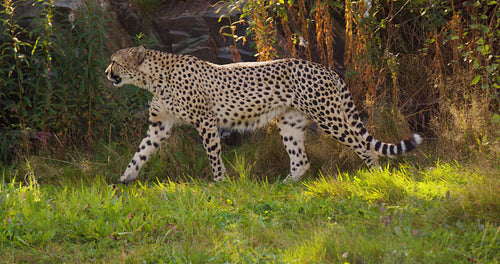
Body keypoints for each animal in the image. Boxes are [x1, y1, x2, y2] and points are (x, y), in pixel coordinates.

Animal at [105, 44, 422, 184]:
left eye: (114, 61)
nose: (106, 73)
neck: (155, 77)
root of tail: (325, 68)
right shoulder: (160, 126)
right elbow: (140, 153)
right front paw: (123, 180)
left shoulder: (206, 121)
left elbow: (213, 154)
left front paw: (218, 183)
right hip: (290, 123)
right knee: (301, 161)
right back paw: (285, 186)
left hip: (330, 118)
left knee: (365, 147)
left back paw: (375, 177)